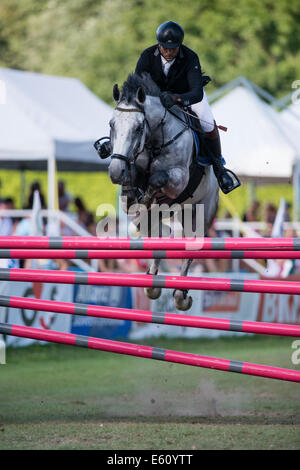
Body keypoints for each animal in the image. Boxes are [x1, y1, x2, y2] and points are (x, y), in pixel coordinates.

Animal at [107, 73, 218, 310]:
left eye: (138, 128)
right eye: (111, 125)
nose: (115, 171)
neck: (154, 140)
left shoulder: (179, 178)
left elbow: (158, 178)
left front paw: (148, 195)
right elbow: (132, 186)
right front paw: (132, 191)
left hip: (198, 213)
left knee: (189, 248)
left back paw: (180, 295)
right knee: (157, 237)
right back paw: (152, 282)